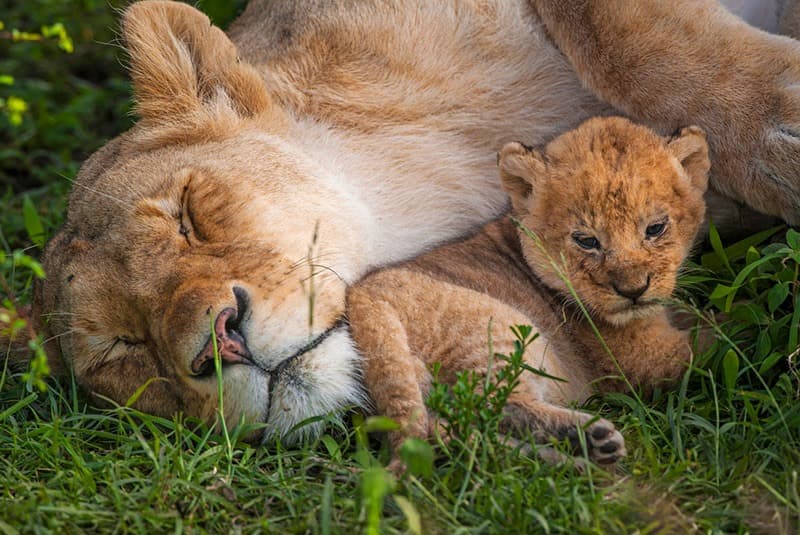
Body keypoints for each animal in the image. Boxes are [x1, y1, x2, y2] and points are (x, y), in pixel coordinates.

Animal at [346, 116, 709, 467]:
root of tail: (363, 296)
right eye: (586, 240)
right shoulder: (643, 359)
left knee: (458, 435)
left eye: (655, 228)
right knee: (495, 404)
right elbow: (711, 342)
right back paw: (591, 438)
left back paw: (572, 461)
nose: (633, 290)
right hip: (496, 328)